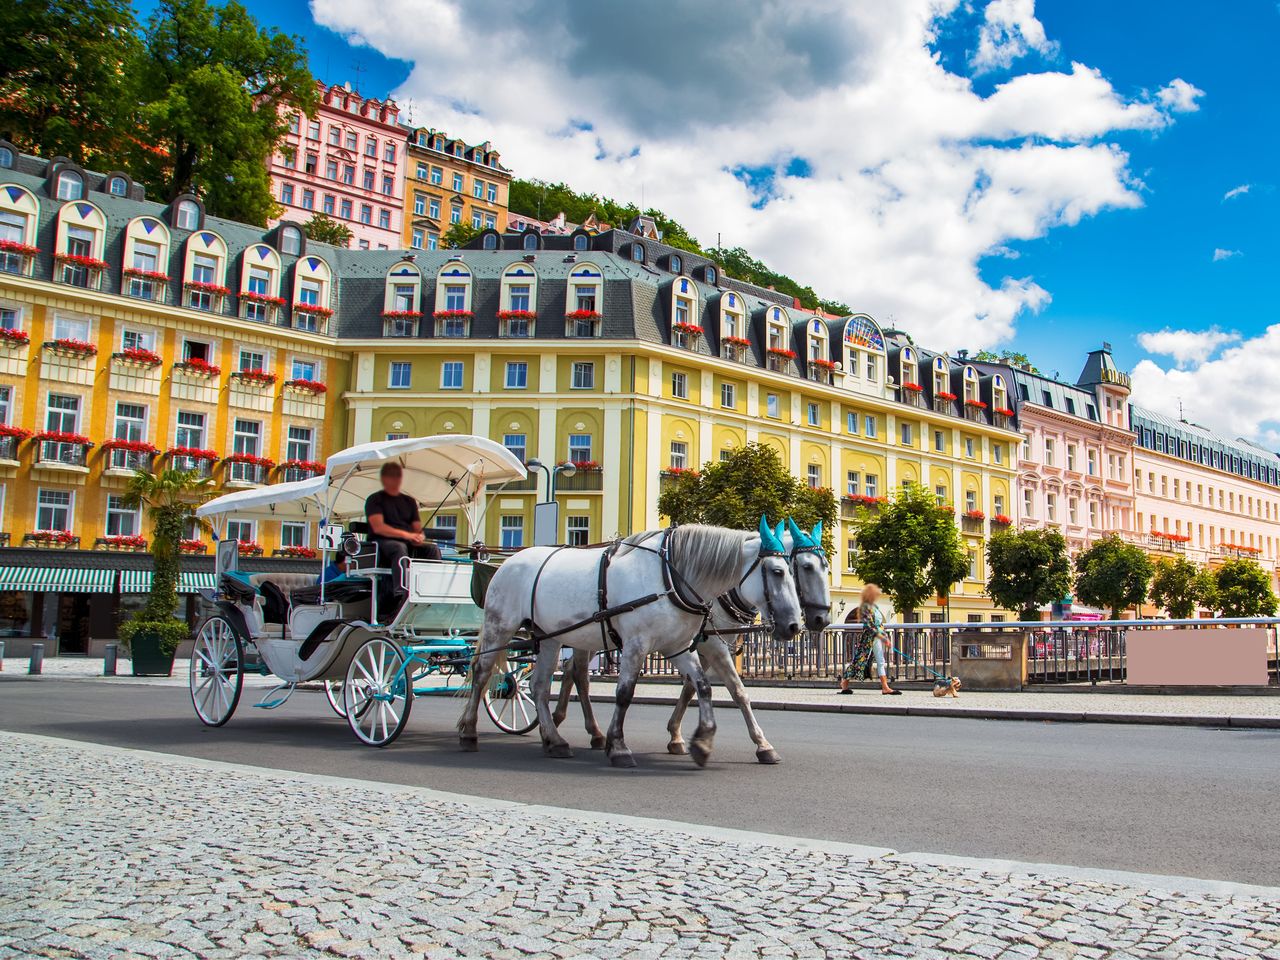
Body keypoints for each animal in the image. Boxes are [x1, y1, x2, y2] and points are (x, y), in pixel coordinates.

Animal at [460, 522, 798, 773]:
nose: (794, 625)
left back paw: (555, 740)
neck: (671, 577)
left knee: (540, 685)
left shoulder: (678, 646)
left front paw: (702, 742)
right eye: (778, 572)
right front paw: (619, 747)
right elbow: (624, 694)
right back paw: (469, 732)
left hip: (549, 637)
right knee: (482, 673)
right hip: (500, 627)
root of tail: (507, 562)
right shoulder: (637, 645)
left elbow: (703, 686)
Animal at [555, 519, 834, 768]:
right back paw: (589, 732)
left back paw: (569, 725)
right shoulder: (712, 646)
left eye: (826, 567)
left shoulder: (702, 646)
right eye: (806, 567)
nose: (822, 619)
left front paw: (678, 736)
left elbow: (693, 687)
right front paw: (761, 745)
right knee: (580, 675)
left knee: (570, 670)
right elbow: (736, 690)